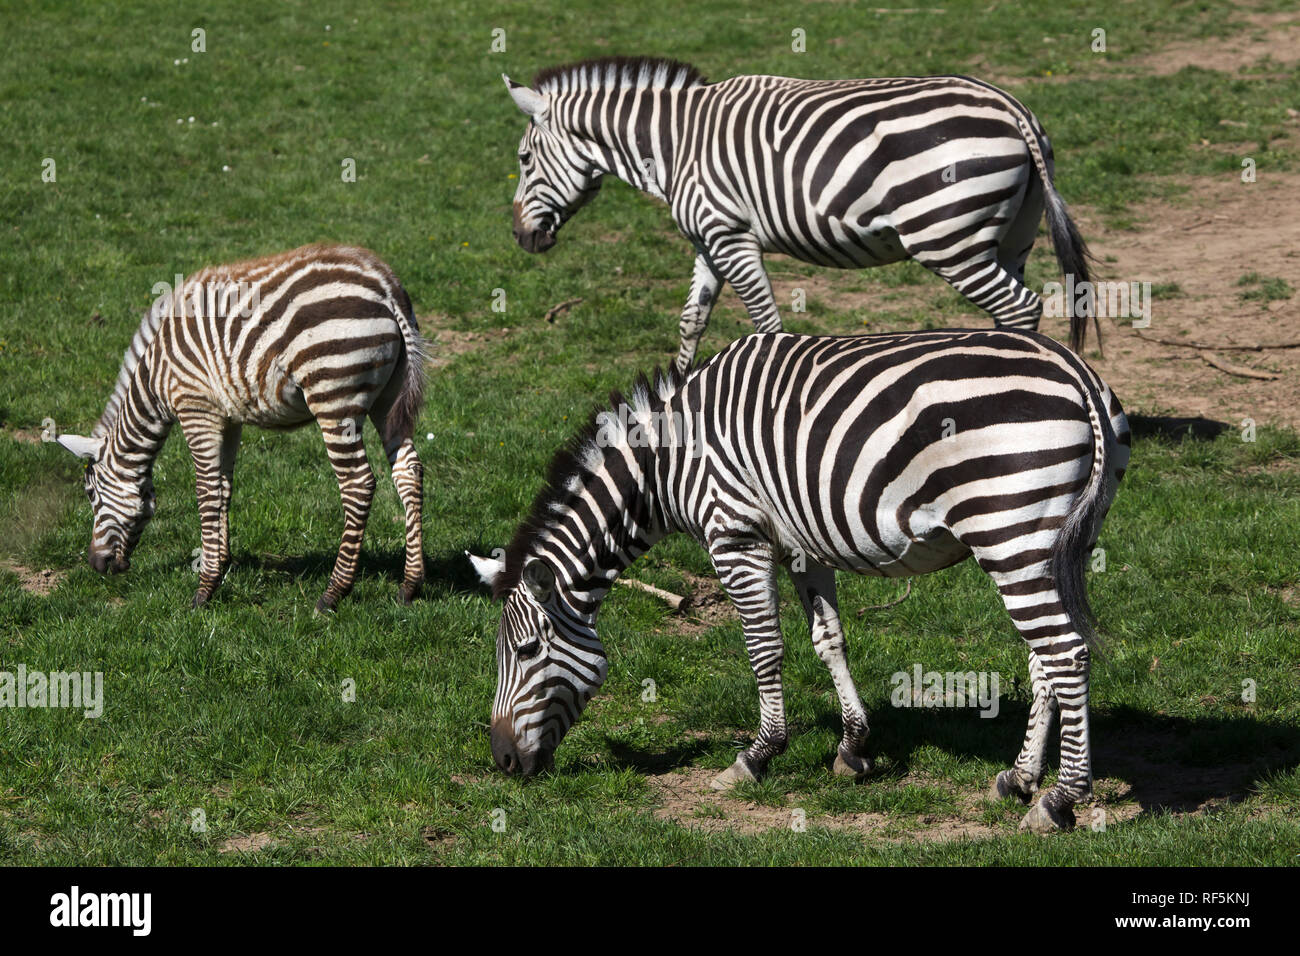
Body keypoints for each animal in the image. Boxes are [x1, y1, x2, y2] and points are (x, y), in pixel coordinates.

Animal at [52, 243, 427, 611]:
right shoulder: (228, 418)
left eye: (90, 494)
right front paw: (221, 563)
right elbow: (223, 488)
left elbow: (205, 492)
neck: (155, 375)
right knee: (408, 470)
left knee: (358, 484)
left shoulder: (196, 408)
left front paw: (204, 589)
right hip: (388, 399)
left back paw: (334, 592)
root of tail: (385, 285)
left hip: (334, 397)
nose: (96, 564)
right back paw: (409, 585)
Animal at [469, 328, 1129, 833]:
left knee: (1065, 653)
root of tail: (1075, 371)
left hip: (1009, 529)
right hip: (1050, 544)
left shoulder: (735, 536)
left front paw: (757, 755)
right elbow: (828, 641)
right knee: (1045, 656)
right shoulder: (802, 546)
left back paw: (1059, 799)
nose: (502, 761)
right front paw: (853, 748)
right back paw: (1020, 777)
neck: (667, 463)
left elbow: (764, 648)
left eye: (526, 651)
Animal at [503, 57, 1097, 371]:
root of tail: (1011, 107)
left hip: (947, 240)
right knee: (1013, 309)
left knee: (1019, 307)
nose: (520, 238)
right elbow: (691, 319)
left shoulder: (731, 236)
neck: (673, 144)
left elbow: (767, 325)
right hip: (1011, 236)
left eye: (524, 159)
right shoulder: (708, 239)